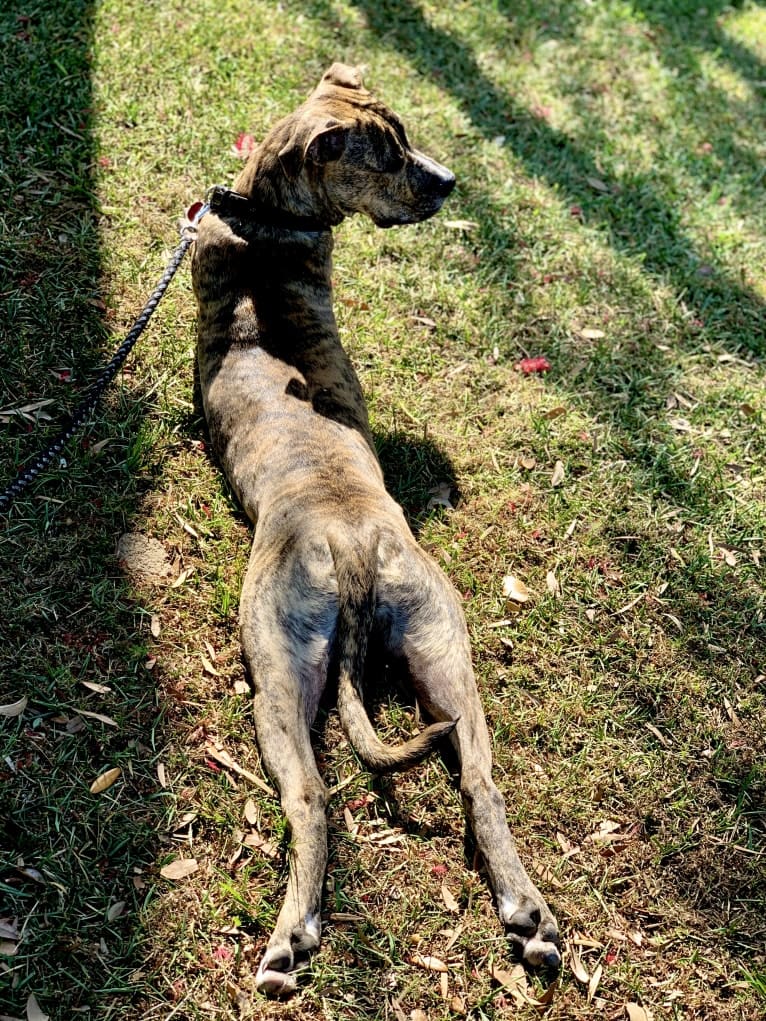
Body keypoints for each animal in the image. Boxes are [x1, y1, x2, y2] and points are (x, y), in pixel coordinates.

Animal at [188, 61, 559, 996]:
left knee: (311, 797)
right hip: (442, 647)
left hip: (276, 670)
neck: (266, 221)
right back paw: (529, 916)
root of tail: (353, 549)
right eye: (388, 155)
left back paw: (290, 938)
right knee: (481, 781)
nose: (451, 180)